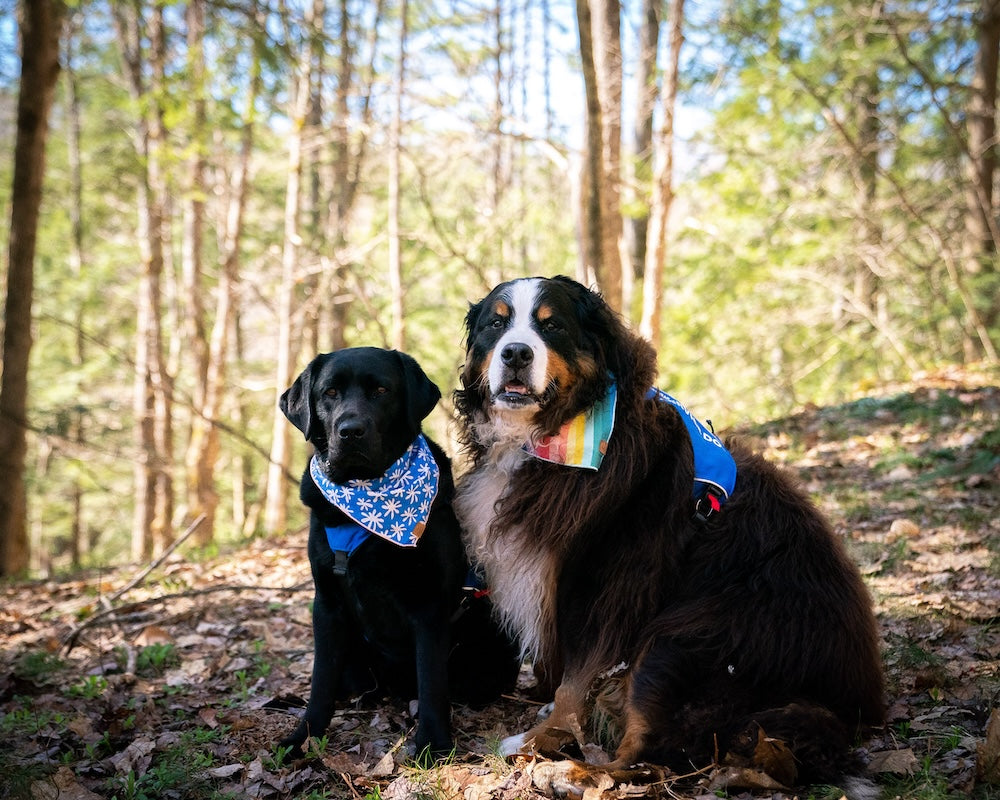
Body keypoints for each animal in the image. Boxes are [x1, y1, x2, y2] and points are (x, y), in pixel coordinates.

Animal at [278, 348, 520, 756]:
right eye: (329, 393)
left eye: (381, 390)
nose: (350, 431)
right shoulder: (326, 604)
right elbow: (320, 680)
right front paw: (304, 737)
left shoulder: (429, 605)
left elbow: (432, 681)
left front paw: (433, 744)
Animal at [454, 276, 884, 788]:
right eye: (496, 324)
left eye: (552, 325)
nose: (516, 353)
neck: (562, 433)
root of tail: (849, 713)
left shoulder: (601, 590)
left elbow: (571, 685)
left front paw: (541, 741)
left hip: (679, 642)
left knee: (648, 758)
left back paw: (577, 770)